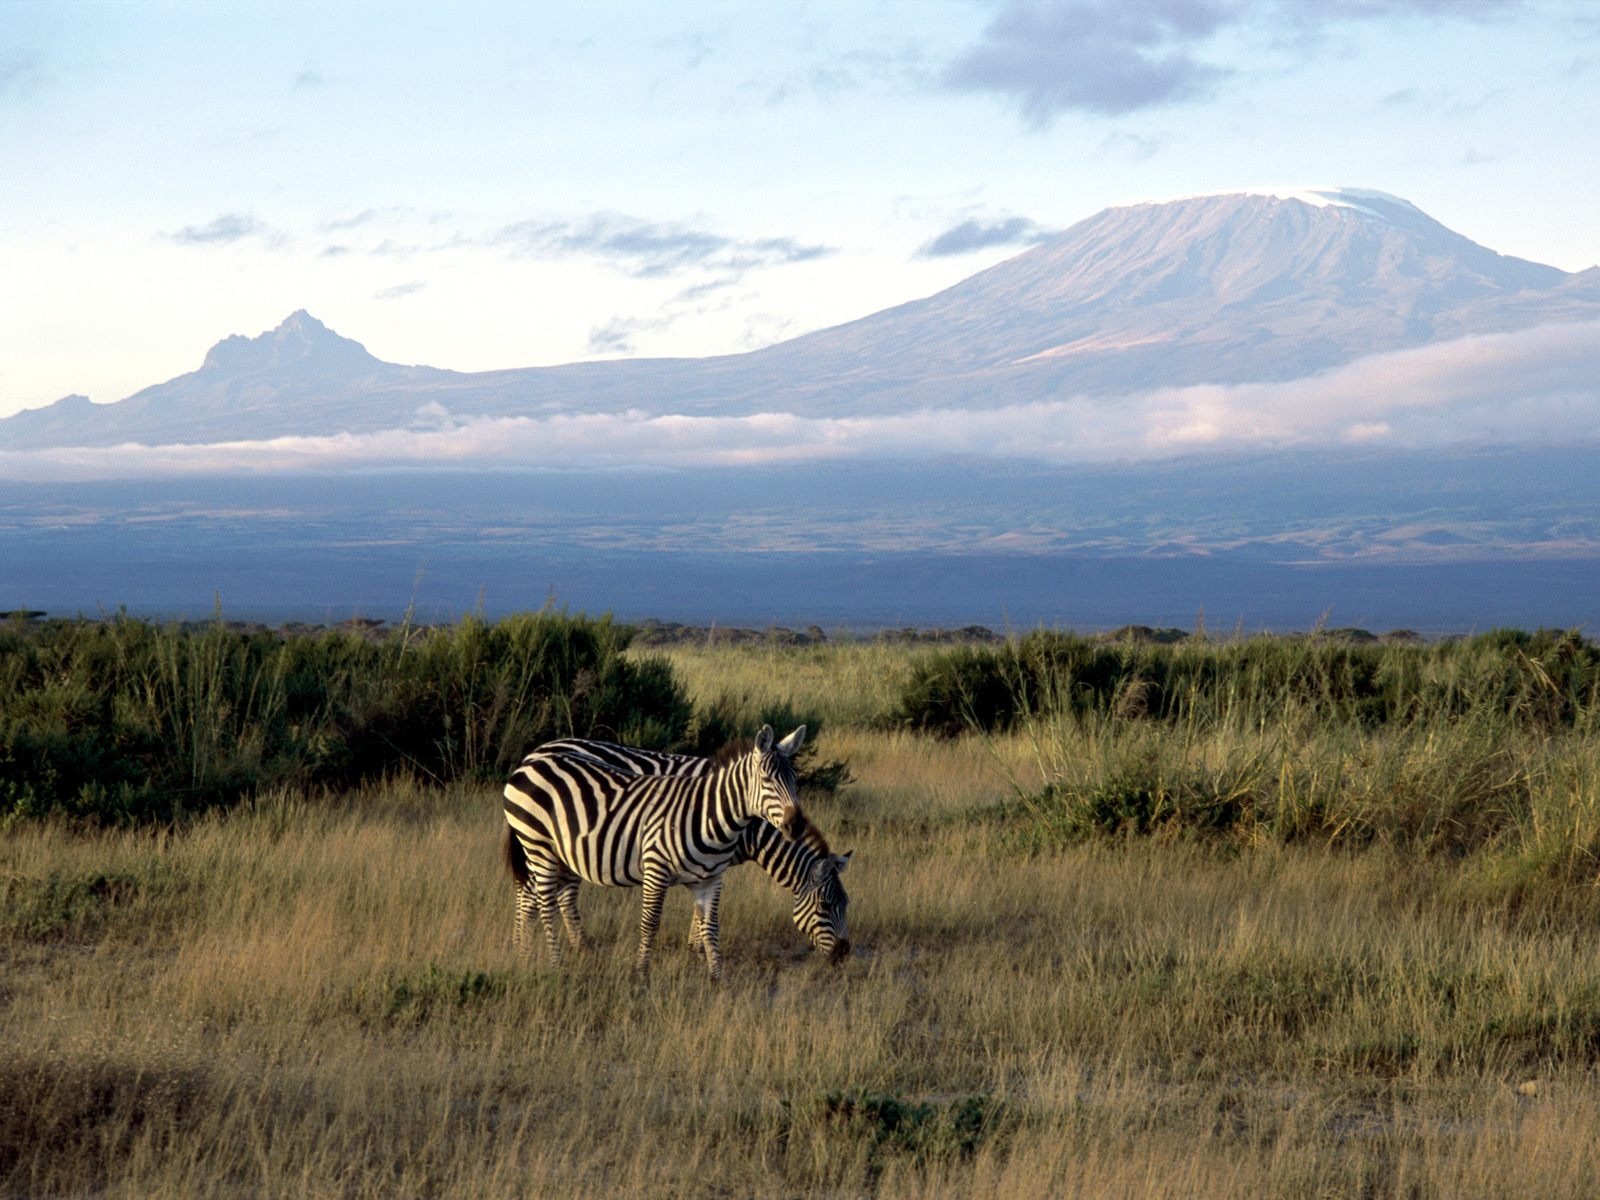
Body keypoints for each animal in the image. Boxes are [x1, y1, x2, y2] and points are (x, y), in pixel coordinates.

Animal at [502, 723, 806, 979]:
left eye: (794, 779)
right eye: (767, 779)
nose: (796, 825)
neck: (710, 816)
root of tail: (531, 761)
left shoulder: (710, 879)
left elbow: (710, 926)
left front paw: (716, 977)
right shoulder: (656, 869)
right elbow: (650, 923)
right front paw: (641, 973)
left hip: (551, 852)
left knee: (532, 897)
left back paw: (526, 953)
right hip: (538, 846)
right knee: (544, 904)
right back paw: (556, 963)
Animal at [537, 739, 857, 966]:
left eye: (846, 904)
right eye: (825, 906)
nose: (843, 954)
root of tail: (543, 748)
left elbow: (701, 907)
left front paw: (698, 948)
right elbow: (700, 911)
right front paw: (698, 950)